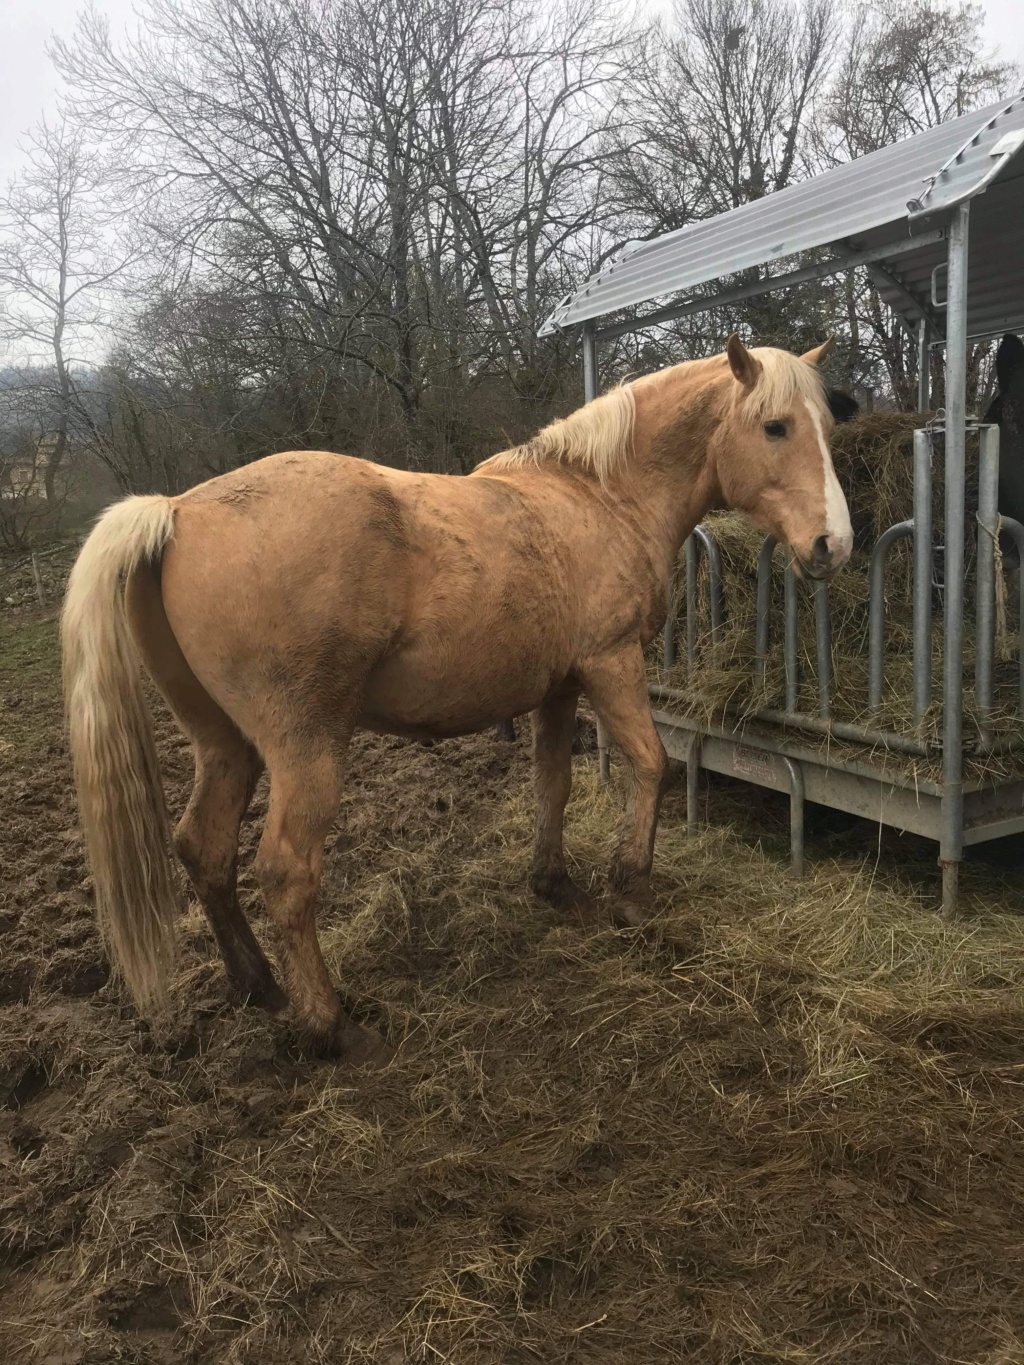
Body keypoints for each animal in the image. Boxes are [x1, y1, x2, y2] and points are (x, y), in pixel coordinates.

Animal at [60, 335, 851, 1059]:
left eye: (827, 425)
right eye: (776, 425)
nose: (834, 545)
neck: (602, 498)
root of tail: (178, 511)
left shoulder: (560, 687)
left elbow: (553, 784)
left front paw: (556, 884)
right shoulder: (611, 664)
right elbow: (652, 764)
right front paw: (630, 889)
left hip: (226, 745)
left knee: (205, 848)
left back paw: (259, 985)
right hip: (305, 749)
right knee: (285, 871)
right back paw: (331, 1027)